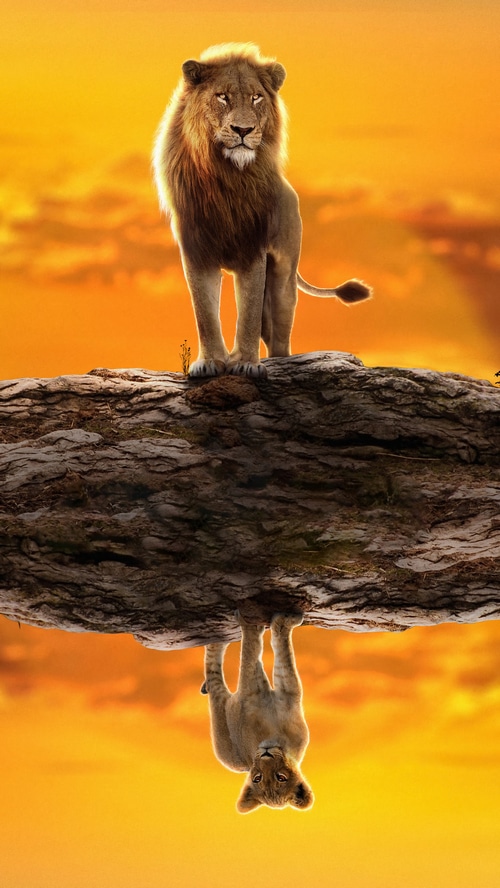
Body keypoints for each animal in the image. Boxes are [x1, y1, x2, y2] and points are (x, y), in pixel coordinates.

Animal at [153, 42, 371, 378]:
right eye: (222, 96)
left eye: (256, 97)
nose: (243, 129)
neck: (227, 178)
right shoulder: (197, 250)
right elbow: (205, 313)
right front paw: (211, 362)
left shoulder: (252, 248)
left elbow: (249, 314)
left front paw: (245, 363)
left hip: (283, 279)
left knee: (278, 333)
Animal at [201, 612, 313, 813]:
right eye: (257, 778)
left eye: (281, 777)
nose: (265, 755)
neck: (277, 739)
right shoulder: (281, 690)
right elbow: (265, 652)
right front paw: (281, 622)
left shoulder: (278, 692)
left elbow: (259, 651)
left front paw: (275, 623)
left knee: (212, 672)